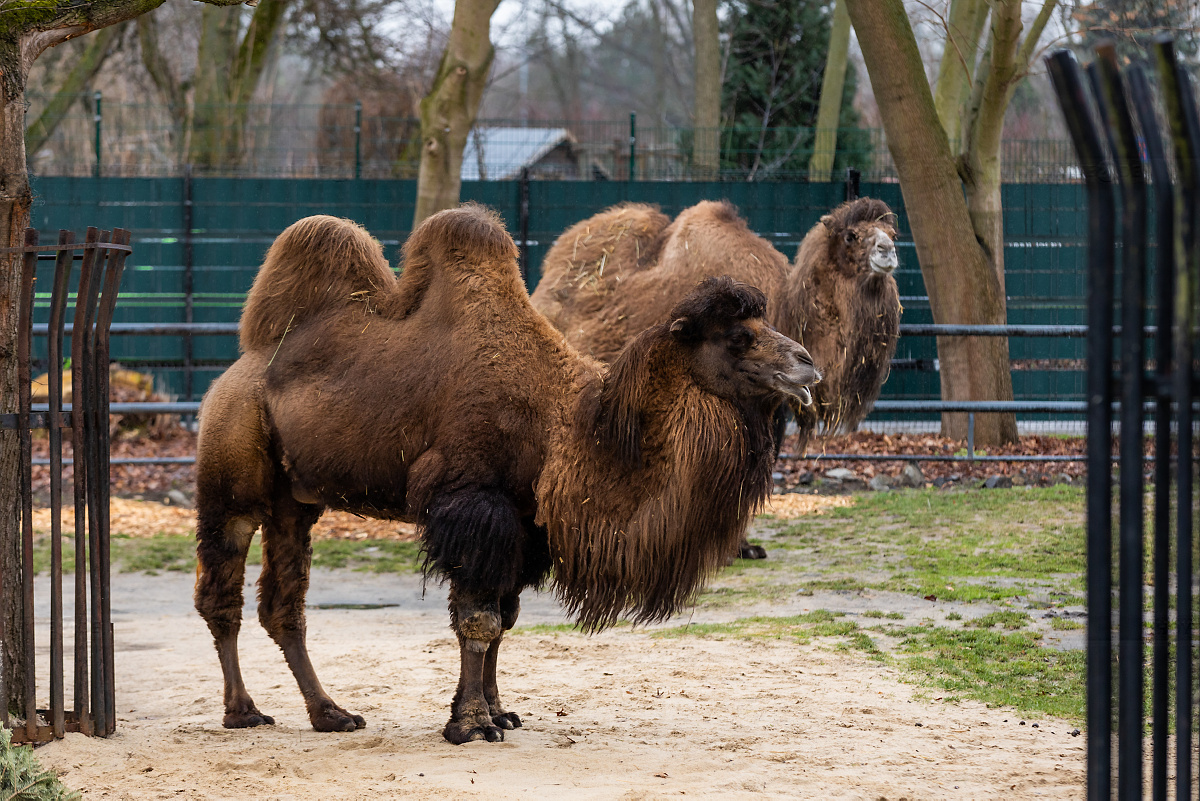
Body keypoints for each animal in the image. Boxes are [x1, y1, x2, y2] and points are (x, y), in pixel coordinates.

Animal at [196, 205, 820, 743]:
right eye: (738, 337)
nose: (807, 363)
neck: (566, 427)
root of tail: (239, 369)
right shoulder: (475, 504)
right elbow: (479, 620)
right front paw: (471, 725)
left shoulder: (525, 524)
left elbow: (506, 617)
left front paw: (498, 712)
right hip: (232, 472)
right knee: (221, 589)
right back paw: (243, 712)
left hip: (296, 499)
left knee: (284, 604)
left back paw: (331, 713)